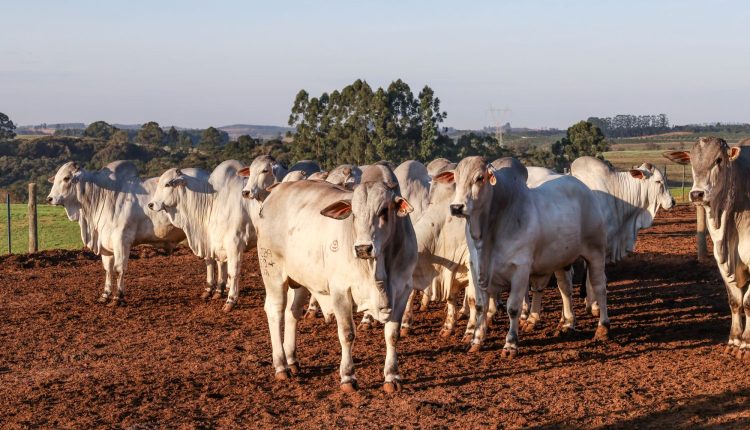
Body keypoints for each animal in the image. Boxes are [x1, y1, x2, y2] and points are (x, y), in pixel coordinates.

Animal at [46, 161, 188, 306]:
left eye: (66, 178)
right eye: (56, 178)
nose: (49, 198)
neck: (102, 195)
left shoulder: (122, 240)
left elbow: (119, 268)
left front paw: (118, 297)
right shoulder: (106, 245)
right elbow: (108, 269)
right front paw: (105, 294)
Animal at [258, 180, 420, 392]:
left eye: (384, 210)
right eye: (354, 214)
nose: (363, 248)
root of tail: (278, 188)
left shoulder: (402, 291)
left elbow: (392, 335)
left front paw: (392, 376)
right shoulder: (340, 291)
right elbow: (347, 334)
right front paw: (348, 377)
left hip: (299, 280)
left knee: (291, 313)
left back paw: (292, 360)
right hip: (273, 274)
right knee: (275, 312)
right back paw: (281, 366)